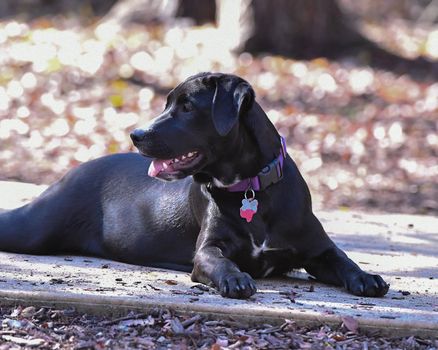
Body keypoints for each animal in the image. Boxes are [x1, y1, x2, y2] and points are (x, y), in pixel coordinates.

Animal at [0, 73, 390, 298]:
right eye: (167, 104)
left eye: (187, 107)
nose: (136, 134)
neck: (252, 189)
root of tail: (75, 170)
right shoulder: (206, 251)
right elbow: (218, 261)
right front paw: (235, 279)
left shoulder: (318, 248)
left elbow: (344, 260)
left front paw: (367, 277)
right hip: (34, 226)